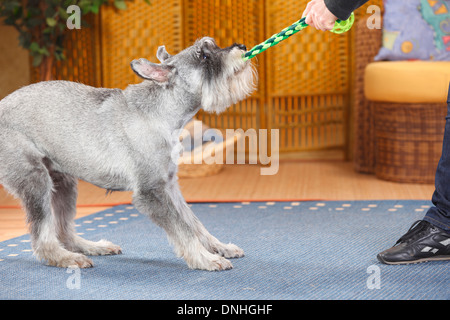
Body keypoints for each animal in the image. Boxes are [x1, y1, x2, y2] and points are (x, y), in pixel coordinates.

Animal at [0, 38, 256, 272]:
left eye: (212, 44)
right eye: (203, 55)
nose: (243, 47)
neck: (163, 112)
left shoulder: (169, 187)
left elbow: (195, 224)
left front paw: (220, 247)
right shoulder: (151, 192)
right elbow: (183, 229)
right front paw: (205, 259)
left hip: (63, 183)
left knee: (63, 229)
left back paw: (92, 247)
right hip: (36, 181)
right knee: (42, 236)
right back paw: (65, 258)